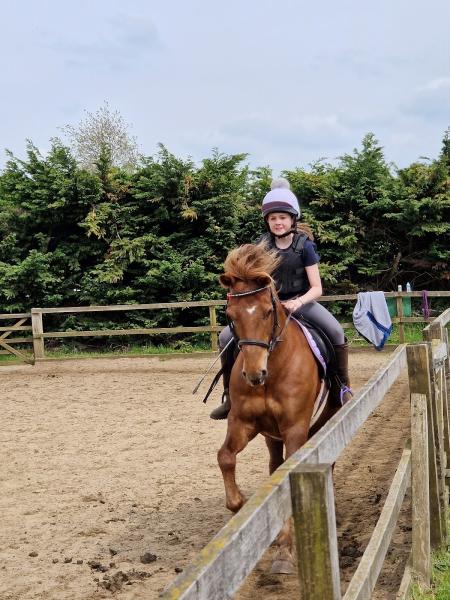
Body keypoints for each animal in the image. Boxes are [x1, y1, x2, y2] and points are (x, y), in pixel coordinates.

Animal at [217, 243, 338, 572]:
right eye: (231, 315)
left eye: (268, 311)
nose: (254, 374)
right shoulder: (242, 423)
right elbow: (225, 458)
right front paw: (239, 506)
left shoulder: (295, 428)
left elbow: (287, 479)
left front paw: (284, 551)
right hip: (270, 434)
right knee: (273, 463)